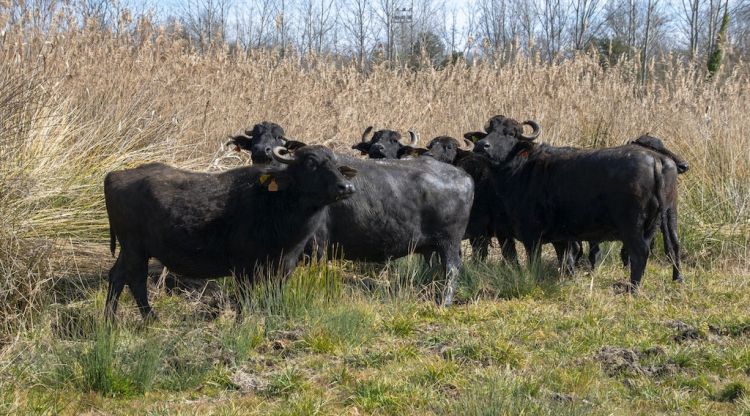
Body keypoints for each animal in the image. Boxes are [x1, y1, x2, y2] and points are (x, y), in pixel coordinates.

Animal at [103, 145, 358, 320]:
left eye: (336, 166)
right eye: (311, 164)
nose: (346, 187)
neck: (275, 204)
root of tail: (115, 175)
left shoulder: (285, 265)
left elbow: (275, 294)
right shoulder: (243, 266)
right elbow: (245, 299)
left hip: (129, 250)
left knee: (117, 276)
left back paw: (110, 320)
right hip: (135, 248)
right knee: (135, 280)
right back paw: (149, 319)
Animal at [476, 115, 688, 288]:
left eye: (510, 134)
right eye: (489, 131)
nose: (481, 146)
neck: (524, 169)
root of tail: (657, 160)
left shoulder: (532, 234)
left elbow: (535, 261)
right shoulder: (561, 237)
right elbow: (565, 258)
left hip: (632, 225)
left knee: (640, 253)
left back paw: (633, 287)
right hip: (660, 220)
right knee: (672, 245)